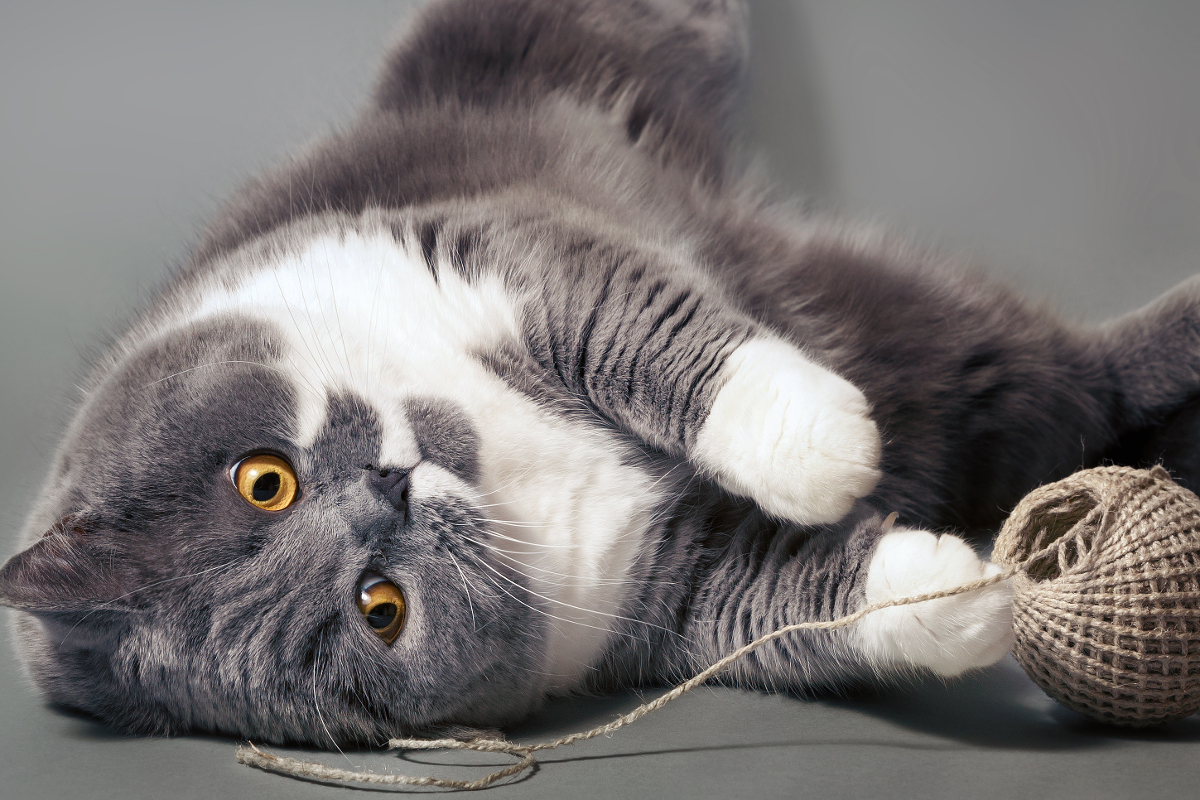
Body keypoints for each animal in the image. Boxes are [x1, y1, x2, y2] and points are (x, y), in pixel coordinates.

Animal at [2, 0, 1200, 748]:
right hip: (950, 370)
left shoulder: (504, 254)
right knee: (1065, 386)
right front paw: (963, 594)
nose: (388, 490)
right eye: (380, 609)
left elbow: (652, 339)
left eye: (264, 480)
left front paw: (823, 445)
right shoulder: (670, 590)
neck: (500, 459)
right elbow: (791, 596)